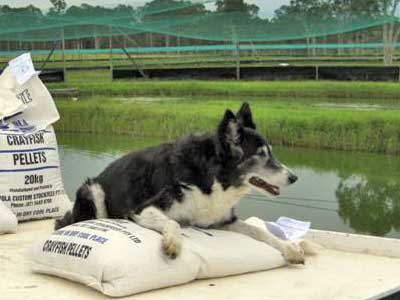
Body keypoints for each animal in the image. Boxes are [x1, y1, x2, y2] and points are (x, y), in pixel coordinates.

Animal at [57, 103, 306, 264]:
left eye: (271, 153)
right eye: (261, 155)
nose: (294, 178)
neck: (212, 178)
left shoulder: (220, 220)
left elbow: (259, 230)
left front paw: (289, 248)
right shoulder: (141, 209)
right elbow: (173, 222)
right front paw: (172, 244)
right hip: (94, 191)